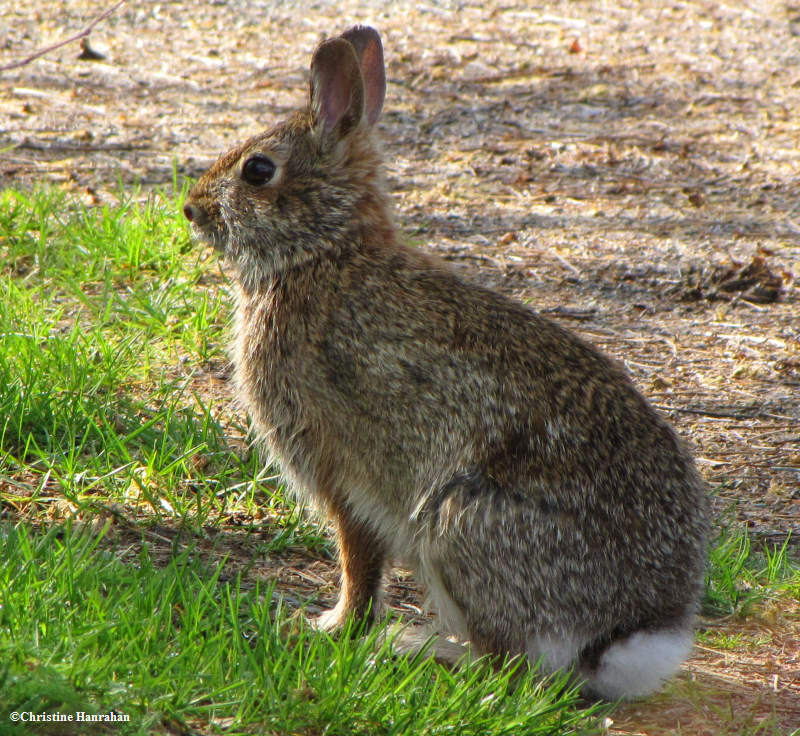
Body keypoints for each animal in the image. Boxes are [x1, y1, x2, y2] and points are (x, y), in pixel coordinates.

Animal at [184, 24, 708, 700]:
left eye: (258, 170)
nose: (192, 208)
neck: (323, 253)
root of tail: (630, 634)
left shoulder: (339, 472)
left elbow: (358, 561)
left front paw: (331, 627)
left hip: (458, 525)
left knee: (510, 666)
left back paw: (423, 651)